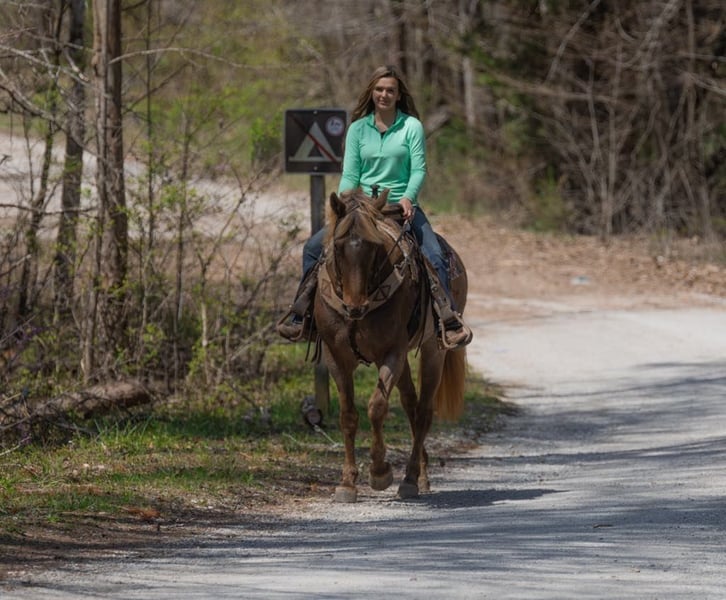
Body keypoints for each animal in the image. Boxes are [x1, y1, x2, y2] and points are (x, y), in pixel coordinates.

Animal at [314, 188, 468, 502]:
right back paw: (421, 476)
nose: (356, 306)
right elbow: (348, 415)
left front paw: (379, 472)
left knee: (423, 412)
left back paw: (410, 479)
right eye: (338, 246)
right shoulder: (337, 357)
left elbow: (377, 407)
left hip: (434, 351)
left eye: (374, 247)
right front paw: (347, 483)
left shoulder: (392, 353)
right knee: (410, 404)